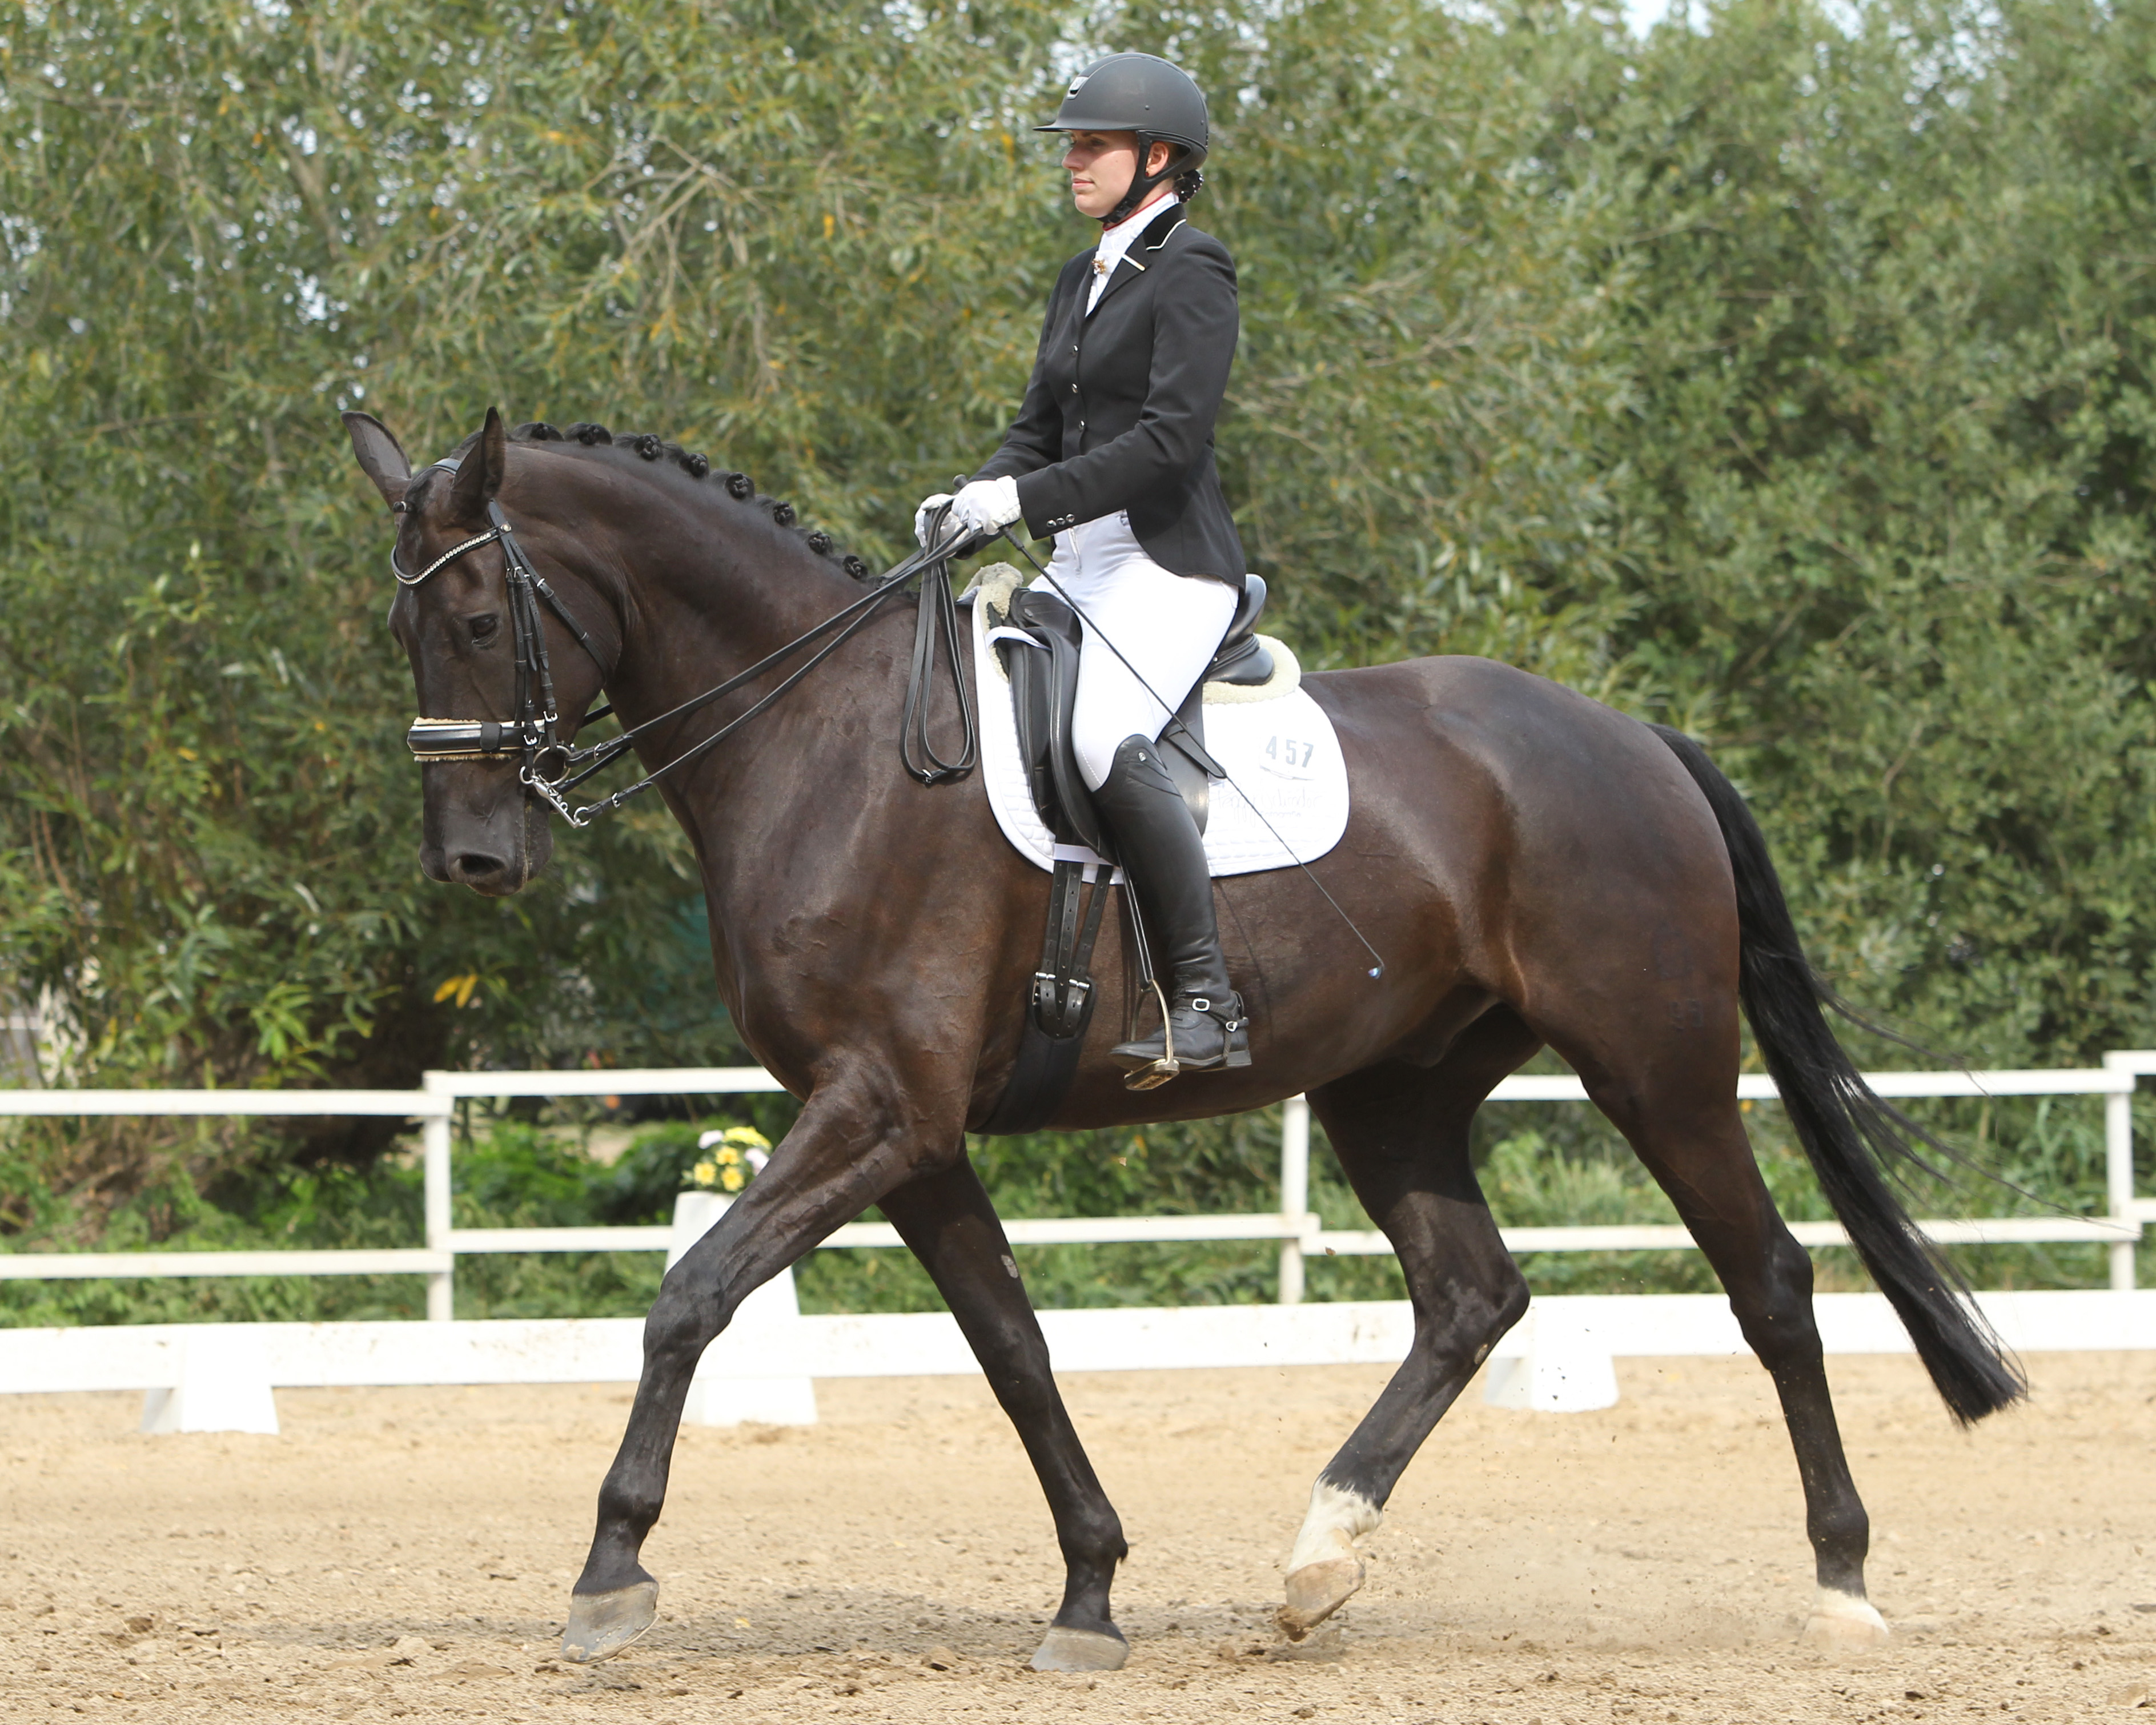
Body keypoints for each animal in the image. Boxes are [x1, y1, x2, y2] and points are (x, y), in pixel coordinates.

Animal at [345, 405, 2009, 1673]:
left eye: (481, 619)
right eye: (401, 628)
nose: (473, 860)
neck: (820, 741)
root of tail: (1631, 737)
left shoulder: (875, 1107)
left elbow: (690, 1296)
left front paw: (609, 1570)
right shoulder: (906, 1130)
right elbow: (1011, 1347)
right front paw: (1089, 1591)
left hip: (1650, 1062)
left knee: (1770, 1282)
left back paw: (1840, 1583)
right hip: (1392, 1087)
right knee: (1469, 1297)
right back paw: (1318, 1558)